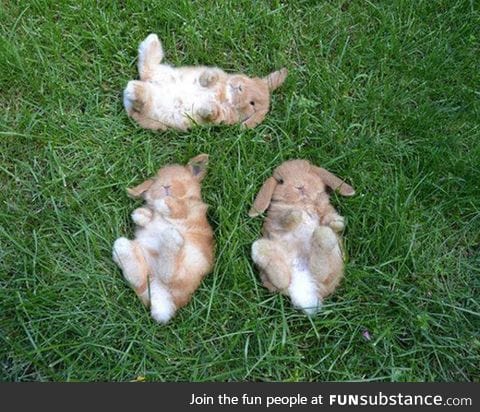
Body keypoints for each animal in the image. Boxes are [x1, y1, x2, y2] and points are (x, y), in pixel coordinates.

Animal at [112, 154, 214, 322]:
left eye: (182, 180)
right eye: (157, 181)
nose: (166, 186)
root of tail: (162, 294)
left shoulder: (190, 209)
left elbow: (179, 207)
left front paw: (163, 204)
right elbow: (147, 216)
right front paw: (140, 214)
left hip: (192, 261)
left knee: (170, 275)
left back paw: (171, 239)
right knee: (140, 279)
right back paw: (123, 248)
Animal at [124, 33, 288, 130]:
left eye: (252, 104)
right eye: (249, 81)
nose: (239, 87)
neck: (224, 95)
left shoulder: (221, 117)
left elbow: (213, 113)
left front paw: (208, 107)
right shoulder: (220, 78)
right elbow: (212, 76)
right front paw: (208, 77)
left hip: (152, 109)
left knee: (143, 95)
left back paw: (134, 89)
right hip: (163, 74)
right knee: (147, 69)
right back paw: (151, 41)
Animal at [249, 159, 354, 314]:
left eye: (309, 172)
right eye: (281, 181)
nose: (300, 186)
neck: (302, 203)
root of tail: (304, 291)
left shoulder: (325, 209)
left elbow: (329, 218)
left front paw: (337, 223)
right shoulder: (275, 219)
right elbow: (284, 220)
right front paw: (295, 215)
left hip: (334, 260)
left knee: (320, 271)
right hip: (265, 250)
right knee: (282, 280)